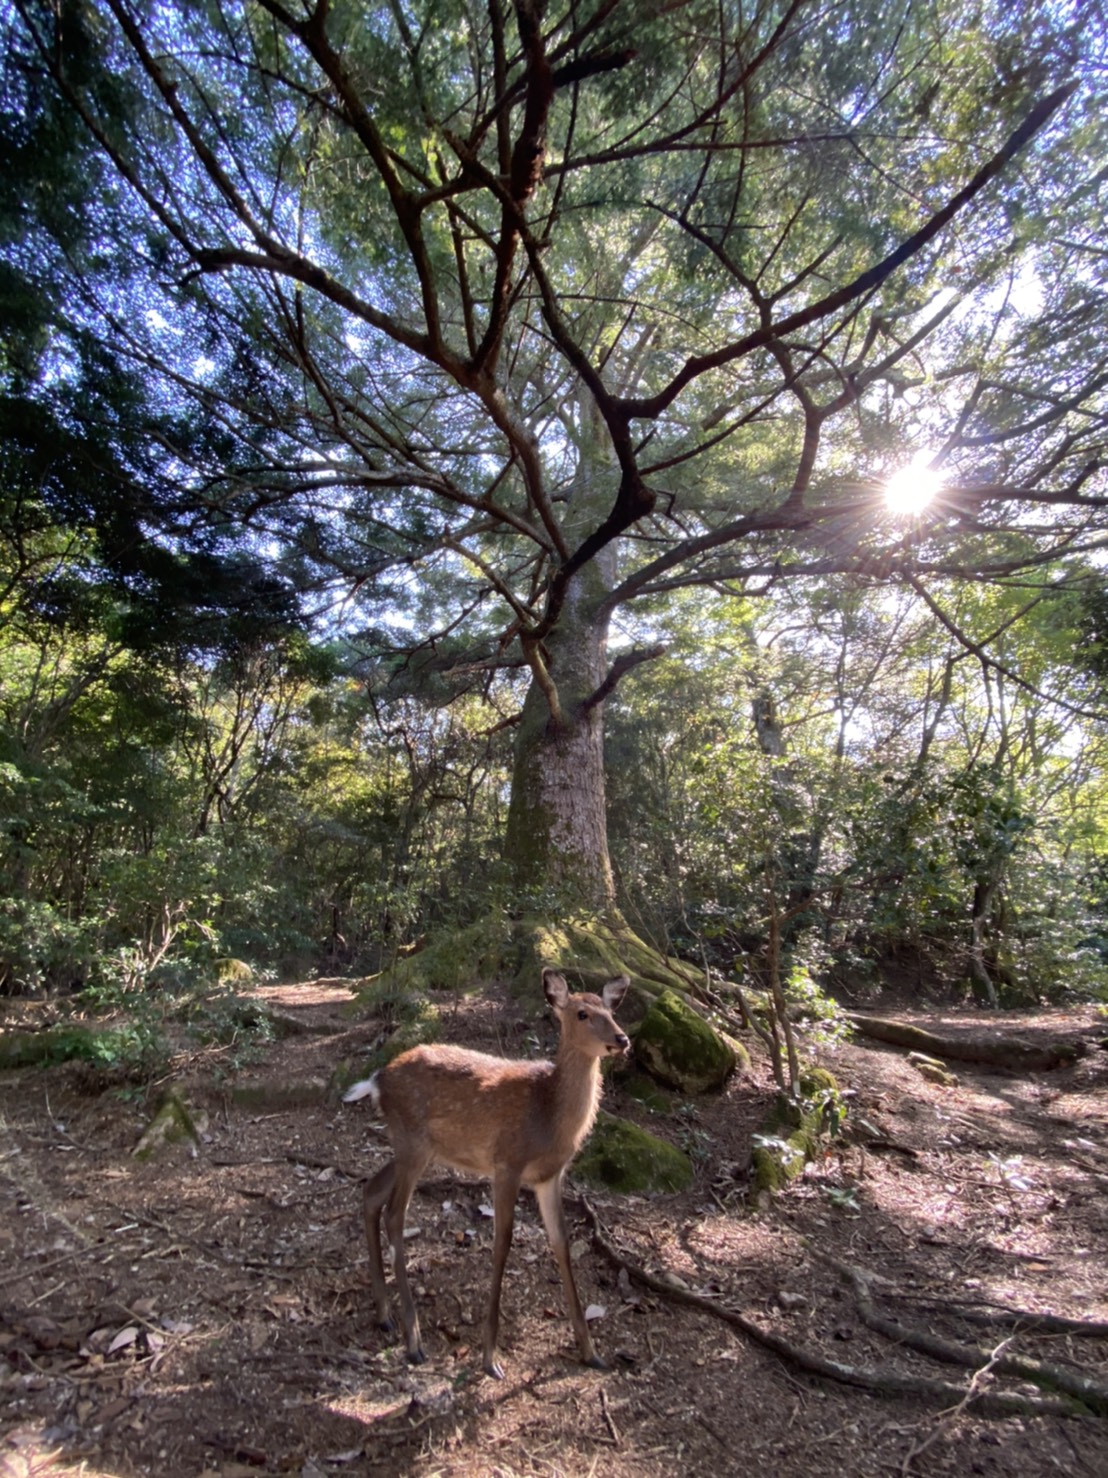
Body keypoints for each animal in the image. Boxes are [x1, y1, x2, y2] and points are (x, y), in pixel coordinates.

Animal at [342, 963, 629, 1377]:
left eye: (611, 1010)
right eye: (582, 1013)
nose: (622, 1039)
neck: (548, 1114)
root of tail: (376, 1080)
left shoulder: (549, 1176)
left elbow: (561, 1242)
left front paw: (591, 1352)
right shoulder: (507, 1163)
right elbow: (502, 1243)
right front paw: (490, 1357)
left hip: (414, 1147)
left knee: (371, 1191)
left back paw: (384, 1316)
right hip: (413, 1144)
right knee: (395, 1214)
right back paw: (414, 1340)